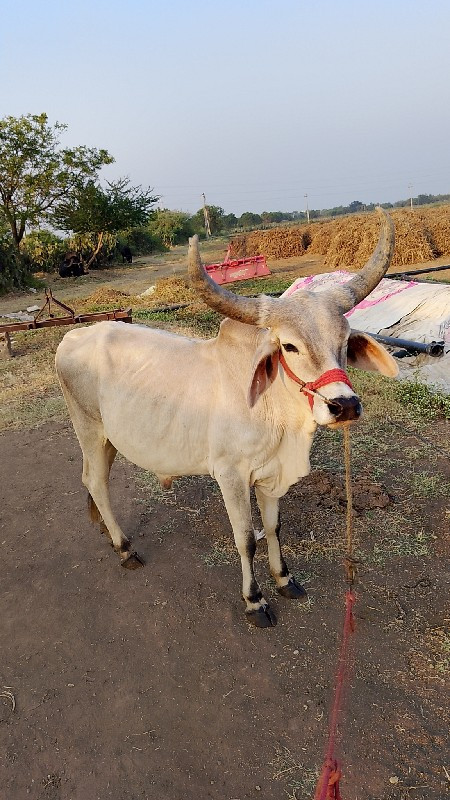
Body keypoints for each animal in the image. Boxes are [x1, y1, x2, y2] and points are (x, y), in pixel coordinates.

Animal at [56, 209, 398, 628]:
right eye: (289, 346)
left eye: (345, 342)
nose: (345, 405)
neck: (276, 415)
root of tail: (73, 337)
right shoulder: (231, 476)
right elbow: (246, 539)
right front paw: (255, 600)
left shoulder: (270, 475)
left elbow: (273, 527)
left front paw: (284, 579)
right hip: (88, 429)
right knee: (96, 482)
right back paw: (124, 548)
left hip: (108, 439)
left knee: (94, 480)